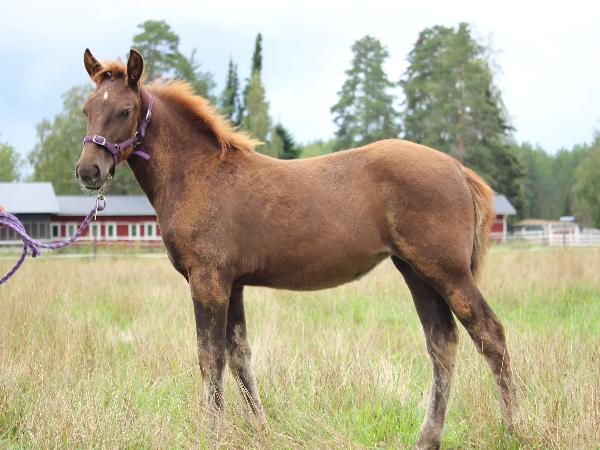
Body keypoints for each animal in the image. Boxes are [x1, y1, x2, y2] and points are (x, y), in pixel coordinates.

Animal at [75, 49, 519, 449]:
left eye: (125, 110)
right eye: (86, 109)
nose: (88, 170)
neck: (199, 174)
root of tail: (457, 169)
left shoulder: (208, 280)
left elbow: (209, 358)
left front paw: (212, 434)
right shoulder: (234, 284)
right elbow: (239, 356)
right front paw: (261, 431)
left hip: (447, 271)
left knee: (490, 335)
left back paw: (514, 430)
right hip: (416, 271)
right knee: (442, 343)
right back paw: (428, 438)